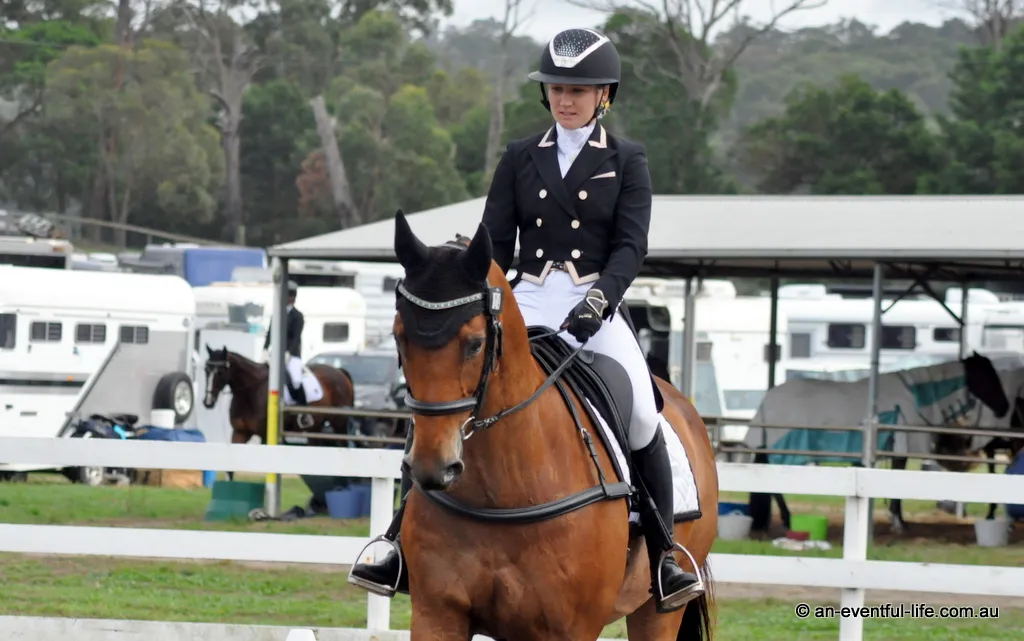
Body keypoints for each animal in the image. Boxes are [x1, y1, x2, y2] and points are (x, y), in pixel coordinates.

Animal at [202, 345, 355, 452]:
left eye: (221, 372)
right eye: (206, 370)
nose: (208, 402)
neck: (250, 391)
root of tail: (339, 371)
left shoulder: (265, 435)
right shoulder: (240, 433)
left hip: (339, 423)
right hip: (315, 429)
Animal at [744, 352, 1020, 534]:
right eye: (985, 375)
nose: (1004, 407)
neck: (913, 398)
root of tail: (768, 399)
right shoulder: (901, 447)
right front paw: (899, 524)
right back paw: (786, 520)